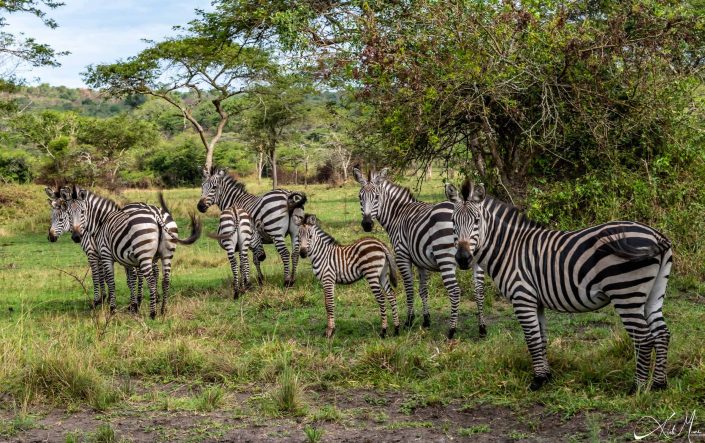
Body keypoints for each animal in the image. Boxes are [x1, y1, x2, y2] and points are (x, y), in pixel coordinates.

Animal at [354, 167, 486, 340]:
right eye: (360, 197)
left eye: (376, 197)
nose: (367, 224)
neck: (398, 214)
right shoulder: (422, 261)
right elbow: (423, 290)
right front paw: (426, 320)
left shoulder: (402, 256)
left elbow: (409, 288)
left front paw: (409, 320)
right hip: (477, 258)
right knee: (479, 290)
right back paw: (482, 329)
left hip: (445, 258)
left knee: (455, 291)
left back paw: (452, 331)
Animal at [446, 180, 672, 392]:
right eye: (453, 222)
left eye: (477, 221)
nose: (463, 259)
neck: (510, 248)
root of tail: (657, 235)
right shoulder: (536, 301)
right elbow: (542, 338)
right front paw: (546, 376)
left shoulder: (522, 297)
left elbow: (532, 339)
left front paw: (537, 381)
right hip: (653, 294)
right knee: (662, 333)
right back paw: (659, 384)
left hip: (626, 293)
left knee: (644, 339)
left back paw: (638, 388)